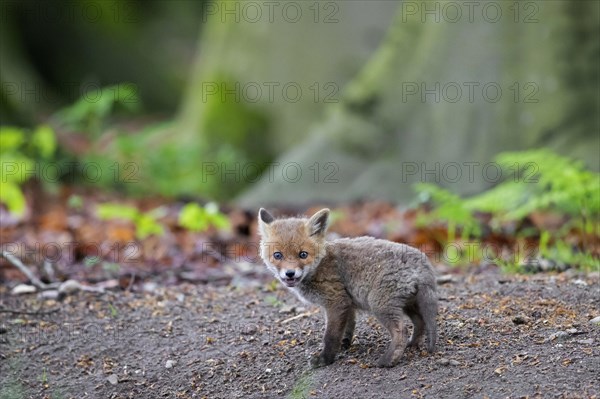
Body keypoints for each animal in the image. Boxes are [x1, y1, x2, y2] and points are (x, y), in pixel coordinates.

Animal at [256, 209, 436, 368]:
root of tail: (421, 260)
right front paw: (345, 344)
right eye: (278, 255)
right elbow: (348, 327)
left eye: (303, 254)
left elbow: (331, 336)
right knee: (420, 322)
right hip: (408, 303)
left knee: (401, 330)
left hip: (380, 305)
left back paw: (389, 360)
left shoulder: (336, 301)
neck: (320, 265)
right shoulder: (347, 303)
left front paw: (325, 359)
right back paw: (412, 345)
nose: (290, 273)